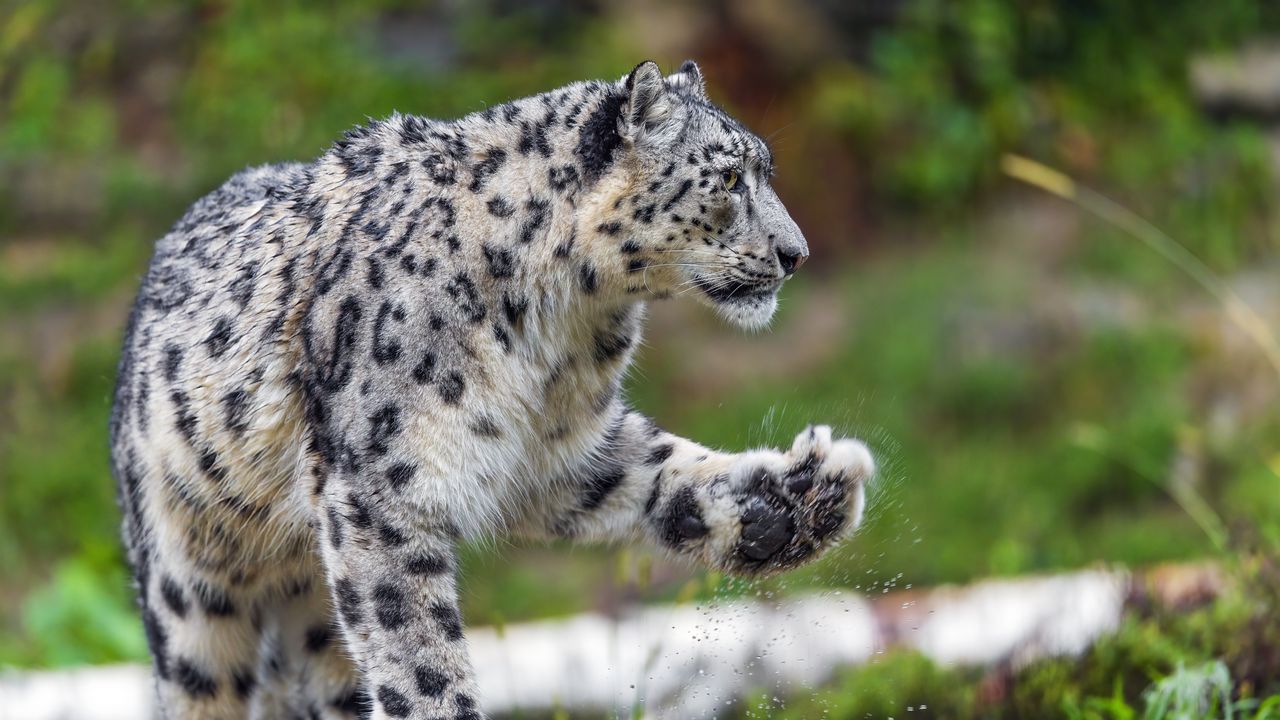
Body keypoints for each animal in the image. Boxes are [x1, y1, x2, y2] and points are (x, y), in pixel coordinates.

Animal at [110, 61, 875, 717]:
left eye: (761, 169)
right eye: (731, 178)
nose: (796, 253)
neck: (561, 329)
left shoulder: (559, 449)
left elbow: (659, 471)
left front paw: (798, 503)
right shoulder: (387, 489)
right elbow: (417, 655)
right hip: (190, 581)